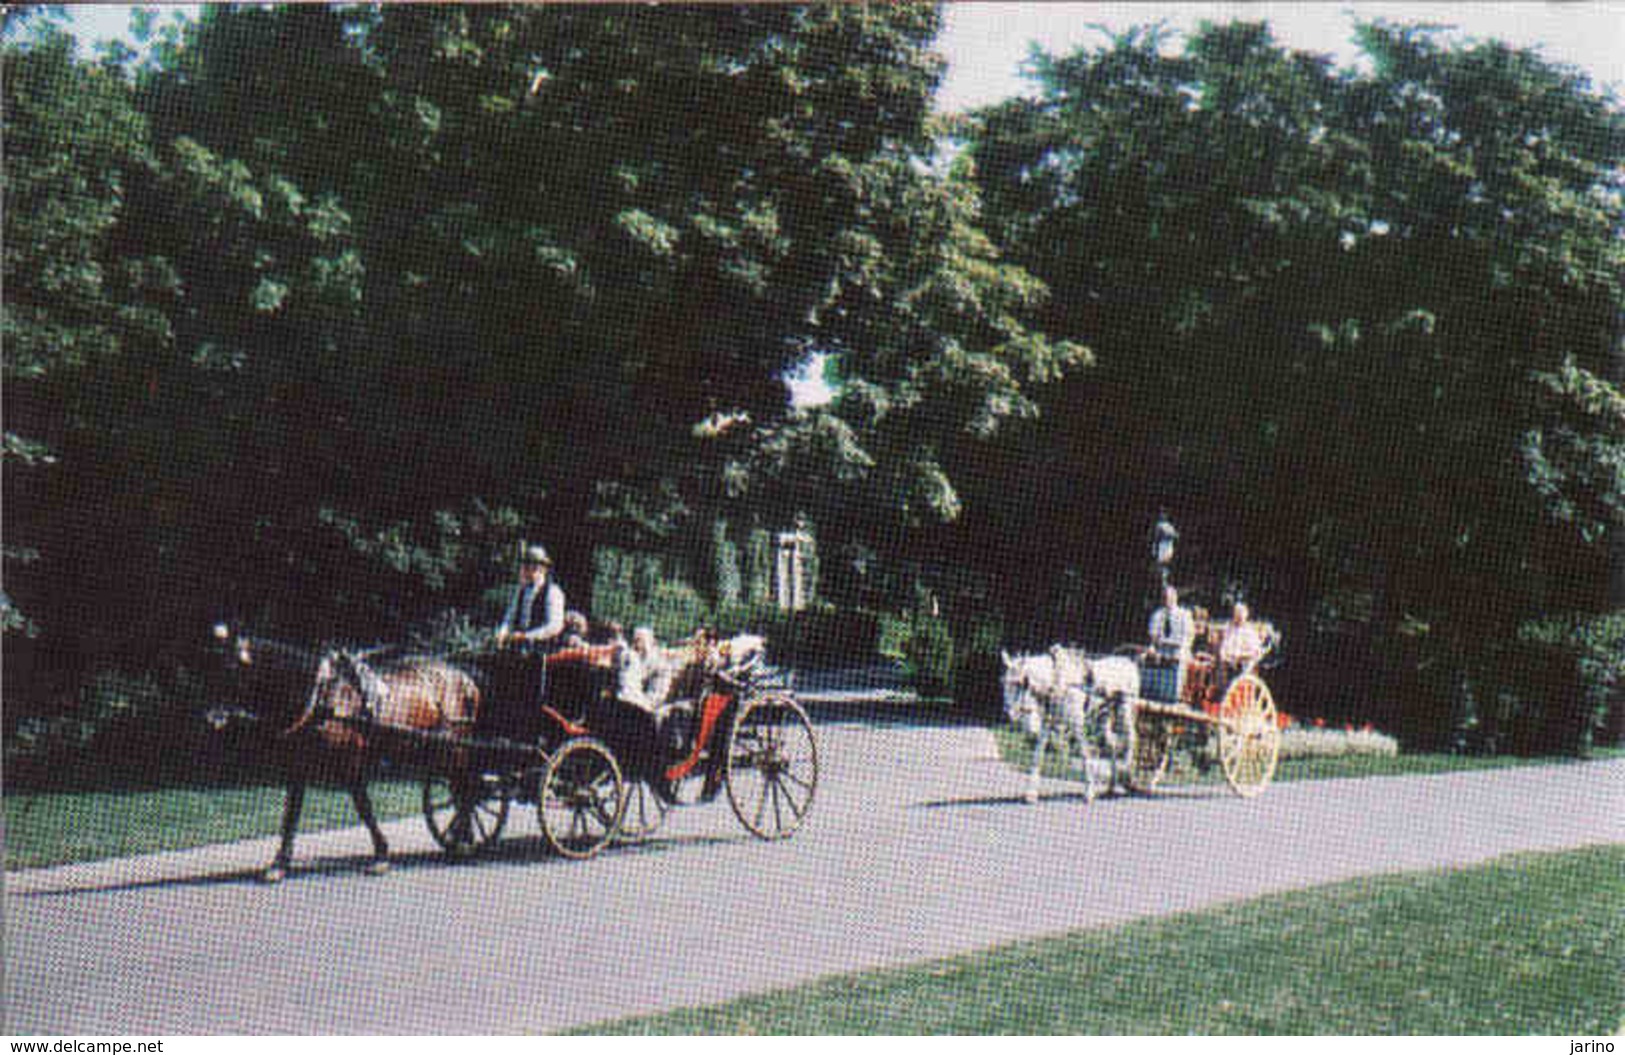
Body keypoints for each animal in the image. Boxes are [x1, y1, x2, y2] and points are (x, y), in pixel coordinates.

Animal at [208, 624, 481, 877]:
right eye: (213, 664)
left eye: (231, 668)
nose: (212, 717)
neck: (322, 698)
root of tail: (464, 678)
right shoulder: (297, 766)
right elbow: (291, 814)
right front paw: (279, 863)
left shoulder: (350, 764)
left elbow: (364, 808)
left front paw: (381, 855)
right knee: (461, 790)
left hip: (454, 747)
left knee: (465, 791)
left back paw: (462, 838)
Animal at [1001, 646, 1144, 803]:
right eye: (1003, 682)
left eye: (1022, 683)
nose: (1008, 714)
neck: (1057, 681)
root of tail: (1130, 662)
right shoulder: (1047, 724)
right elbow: (1038, 755)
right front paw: (1031, 794)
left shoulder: (1077, 724)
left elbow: (1084, 753)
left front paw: (1089, 793)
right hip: (1103, 715)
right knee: (1112, 743)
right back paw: (1111, 786)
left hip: (1125, 710)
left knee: (1130, 739)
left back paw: (1127, 776)